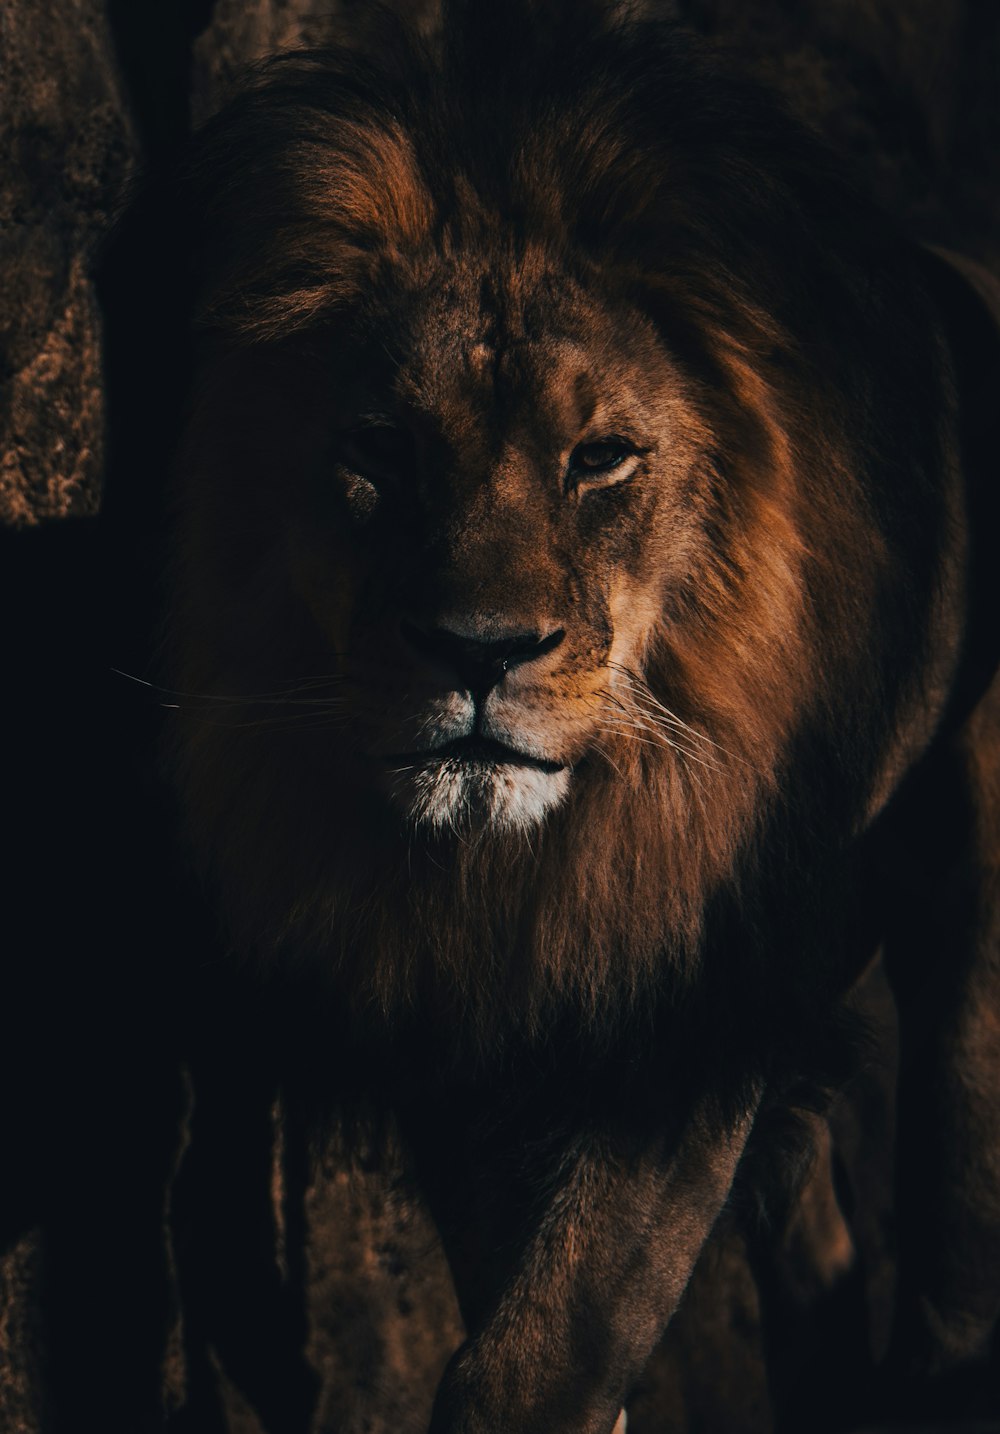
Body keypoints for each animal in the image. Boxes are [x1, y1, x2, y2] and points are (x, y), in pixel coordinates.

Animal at [126, 5, 998, 1428]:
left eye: (599, 459)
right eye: (380, 451)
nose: (478, 652)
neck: (525, 862)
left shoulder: (687, 1009)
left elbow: (540, 1355)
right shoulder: (464, 1035)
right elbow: (515, 1296)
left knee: (955, 1247)